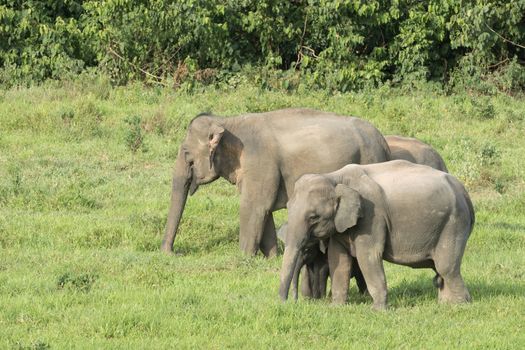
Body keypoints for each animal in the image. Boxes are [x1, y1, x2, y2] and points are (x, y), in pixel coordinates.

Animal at [162, 109, 390, 258]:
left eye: (187, 155)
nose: (172, 253)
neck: (228, 122)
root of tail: (384, 142)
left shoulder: (259, 162)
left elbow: (253, 206)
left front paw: (244, 258)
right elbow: (265, 210)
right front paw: (271, 257)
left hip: (370, 158)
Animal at [280, 160, 472, 310]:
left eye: (313, 217)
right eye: (287, 207)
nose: (287, 303)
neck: (335, 177)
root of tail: (464, 191)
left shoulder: (371, 217)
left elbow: (368, 255)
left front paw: (378, 310)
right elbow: (338, 258)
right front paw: (336, 307)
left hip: (453, 223)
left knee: (446, 267)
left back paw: (458, 305)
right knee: (440, 269)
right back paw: (447, 303)